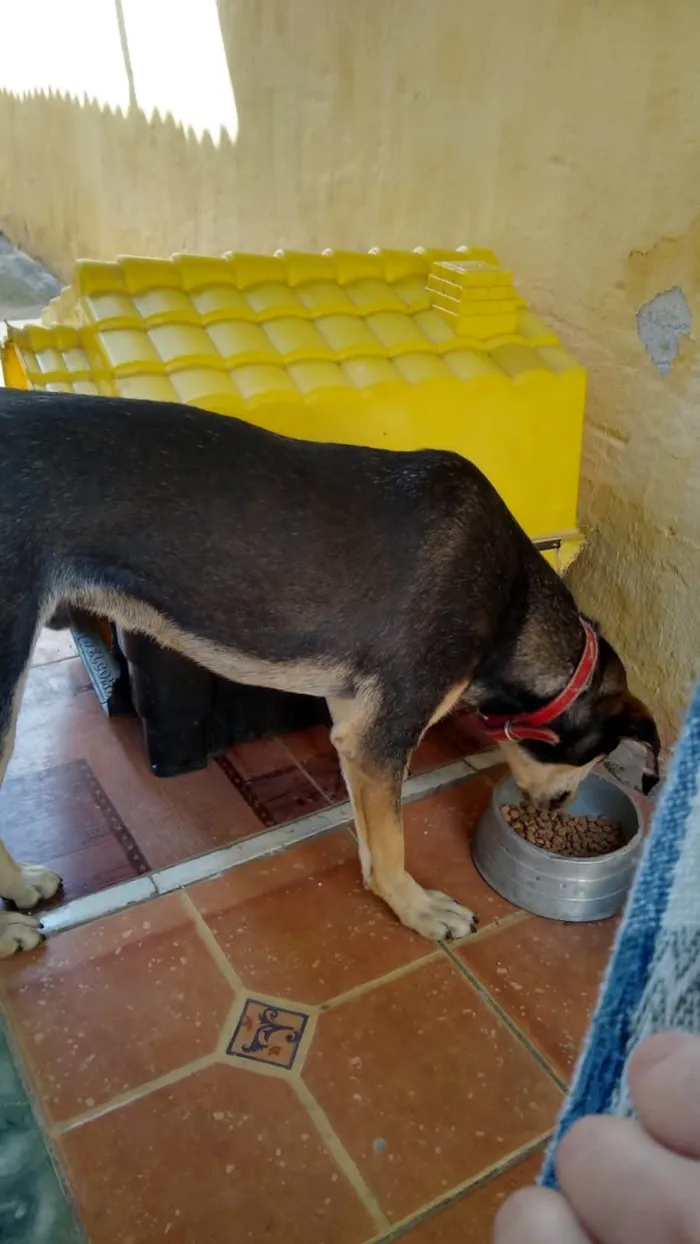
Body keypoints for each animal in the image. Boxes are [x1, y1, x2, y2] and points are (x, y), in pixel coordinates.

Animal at [0, 393, 656, 955]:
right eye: (597, 755)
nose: (557, 810)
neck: (514, 608)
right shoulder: (381, 740)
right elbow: (393, 844)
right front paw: (417, 910)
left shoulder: (353, 731)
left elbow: (371, 840)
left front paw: (386, 894)